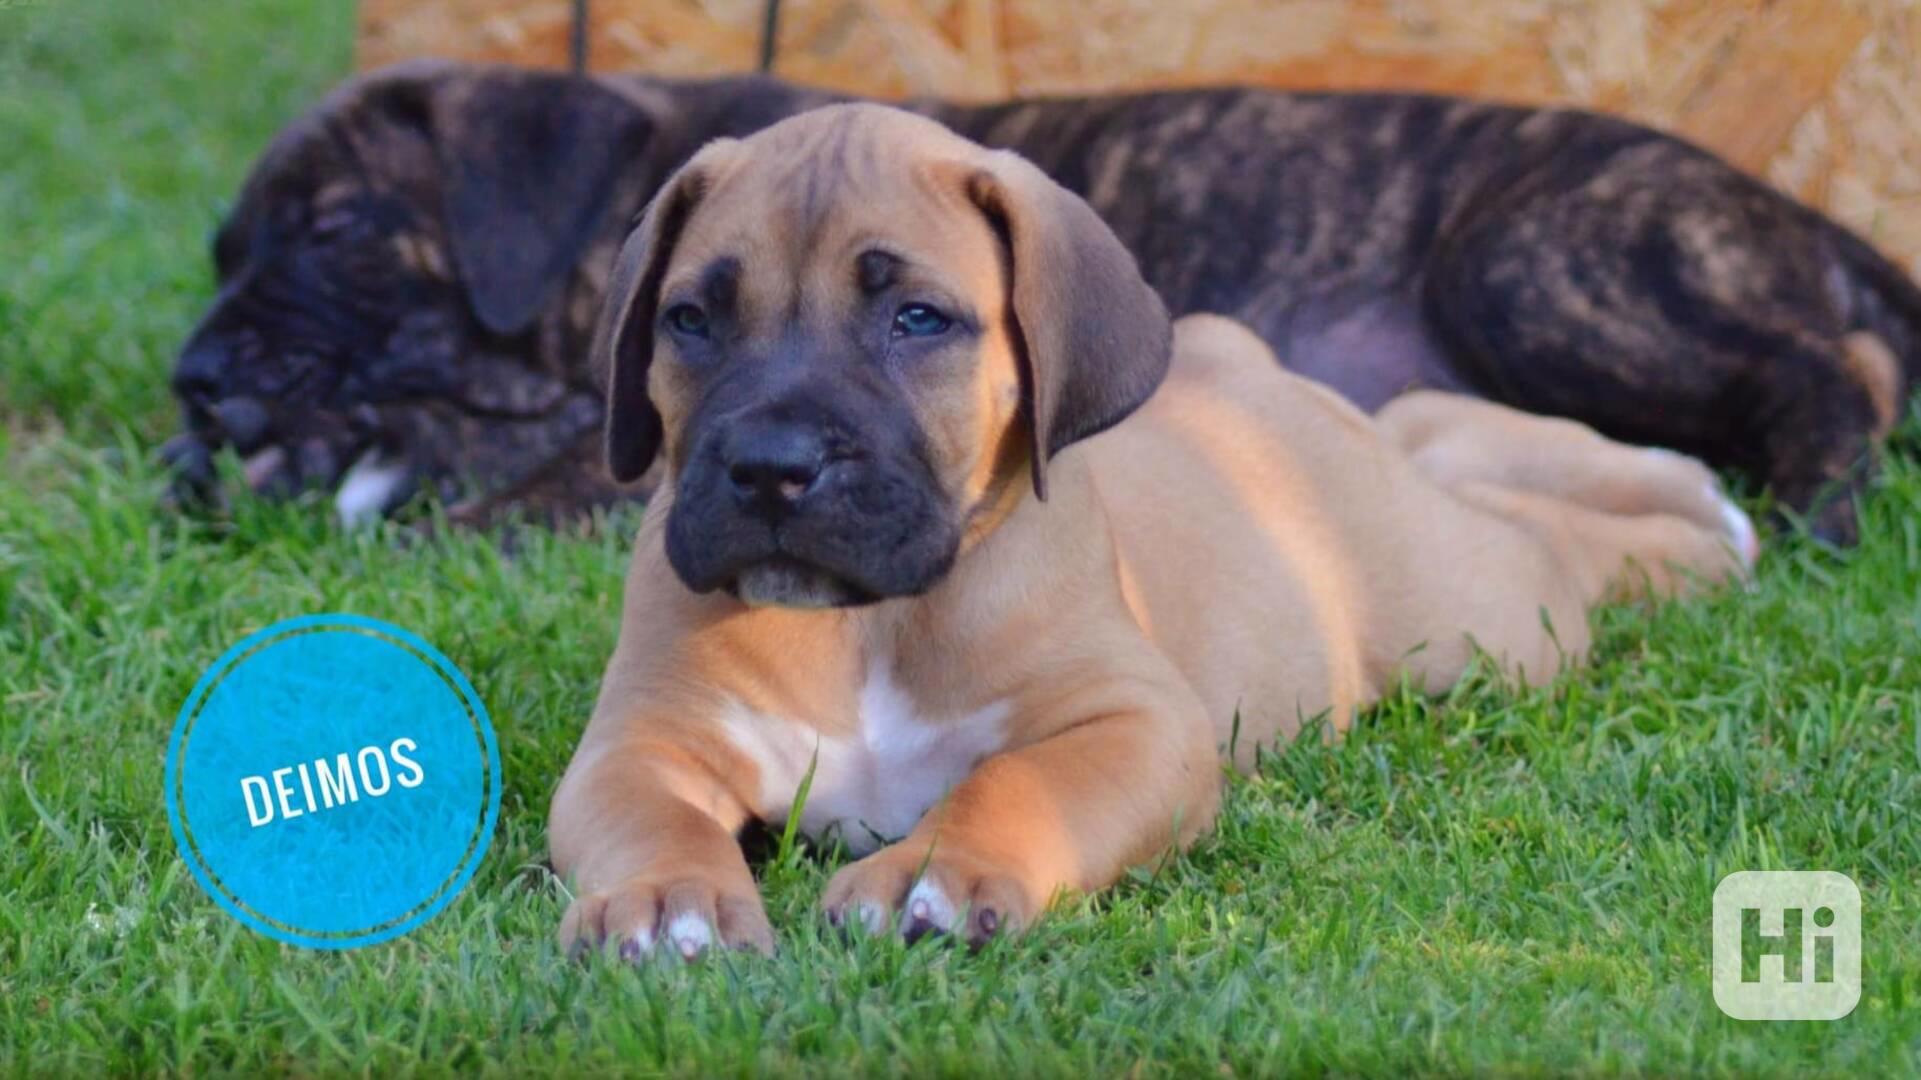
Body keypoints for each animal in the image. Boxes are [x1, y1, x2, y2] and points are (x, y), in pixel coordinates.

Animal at [169, 58, 1921, 538]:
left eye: (334, 230)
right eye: (223, 247)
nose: (190, 376)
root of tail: (1795, 210)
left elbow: (517, 493)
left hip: (1530, 266)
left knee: (1831, 371)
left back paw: (1816, 517)